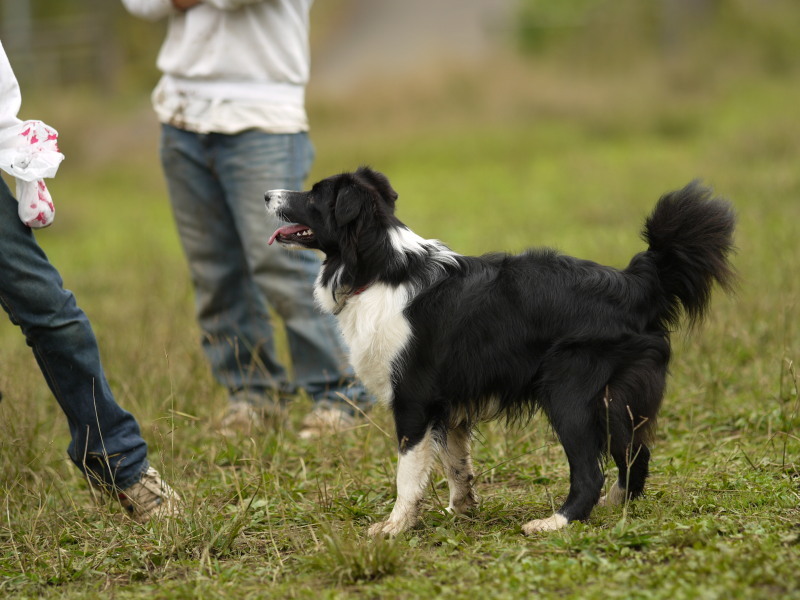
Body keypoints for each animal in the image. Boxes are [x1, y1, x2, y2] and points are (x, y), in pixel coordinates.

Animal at [264, 166, 736, 536]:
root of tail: (637, 283)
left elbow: (408, 474)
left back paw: (556, 523)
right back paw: (614, 507)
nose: (267, 194)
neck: (378, 267)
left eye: (314, 194)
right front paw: (462, 511)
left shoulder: (413, 401)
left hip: (569, 393)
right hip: (617, 398)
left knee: (591, 471)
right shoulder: (447, 405)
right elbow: (456, 464)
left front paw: (394, 527)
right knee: (636, 454)